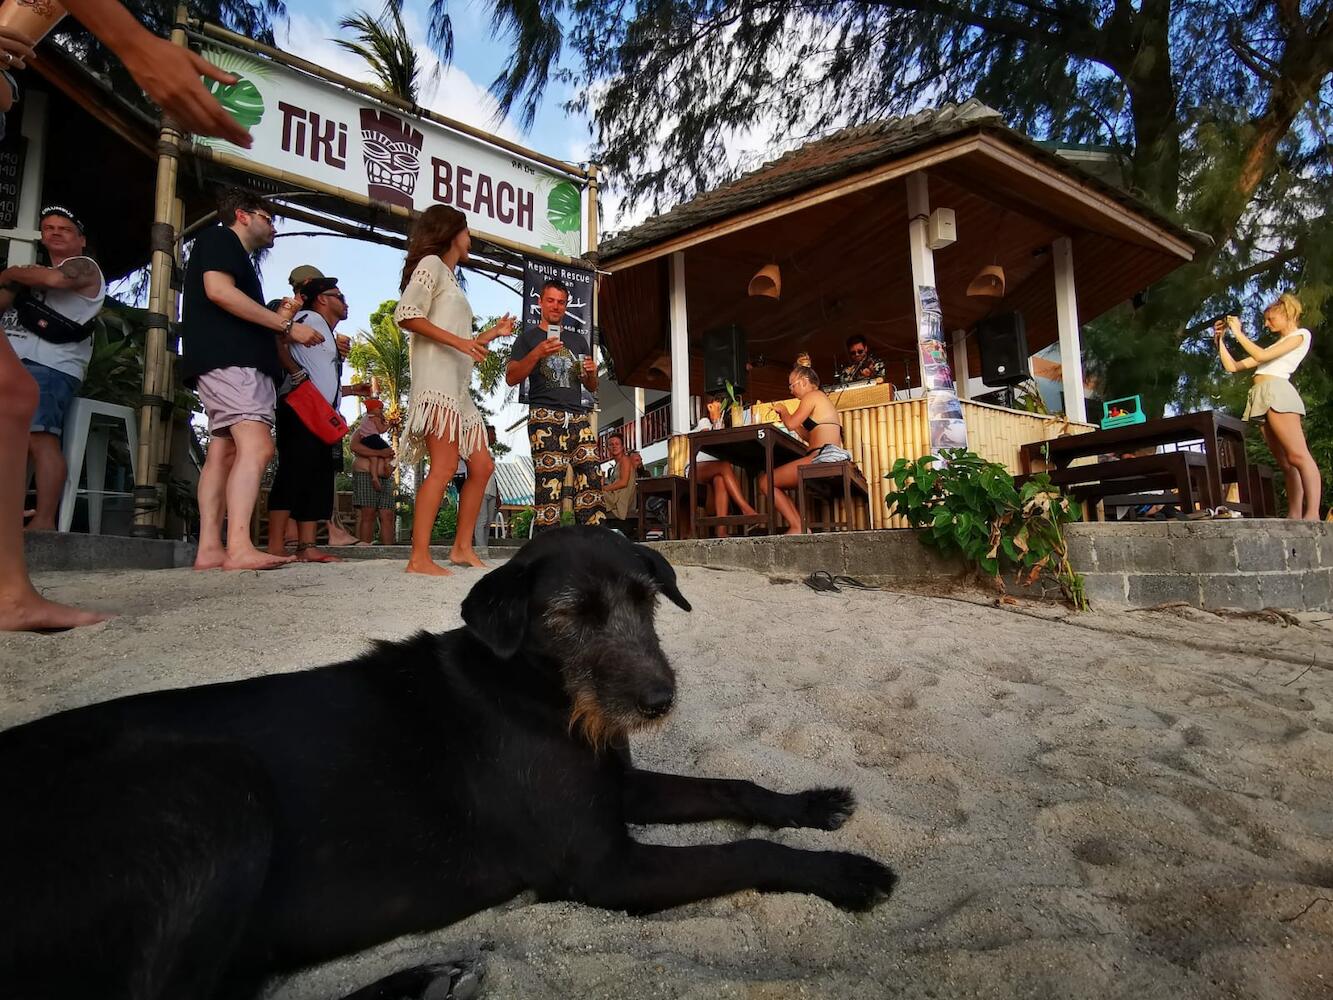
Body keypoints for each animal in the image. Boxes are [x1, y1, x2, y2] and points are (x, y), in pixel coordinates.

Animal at [2, 528, 895, 997]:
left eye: (646, 600)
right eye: (568, 616)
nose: (657, 698)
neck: (527, 688)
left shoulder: (620, 788)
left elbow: (732, 783)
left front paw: (813, 803)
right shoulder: (601, 870)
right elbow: (745, 850)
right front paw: (843, 871)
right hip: (213, 786)